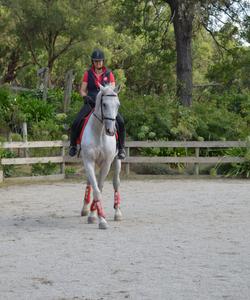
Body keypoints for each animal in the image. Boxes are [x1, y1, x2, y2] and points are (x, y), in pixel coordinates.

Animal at [80, 84, 122, 230]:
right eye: (104, 104)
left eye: (118, 105)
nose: (111, 131)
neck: (99, 132)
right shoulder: (88, 161)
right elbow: (96, 190)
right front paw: (97, 217)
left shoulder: (107, 163)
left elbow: (100, 187)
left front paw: (98, 216)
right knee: (89, 182)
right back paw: (86, 208)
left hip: (117, 161)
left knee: (116, 183)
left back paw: (117, 212)